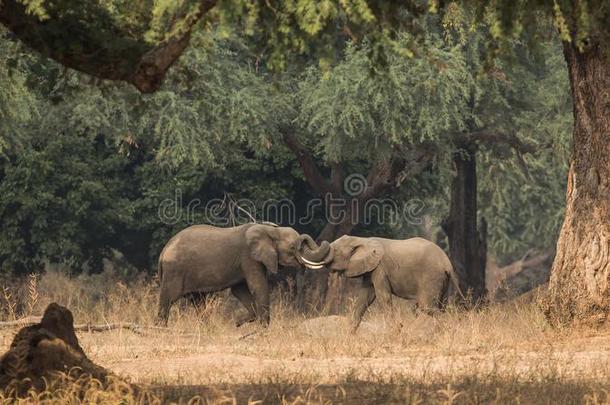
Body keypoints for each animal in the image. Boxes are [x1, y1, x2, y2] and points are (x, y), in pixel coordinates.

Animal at [157, 221, 328, 326]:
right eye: (293, 247)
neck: (270, 230)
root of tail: (164, 249)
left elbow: (239, 290)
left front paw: (238, 322)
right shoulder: (249, 257)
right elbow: (257, 286)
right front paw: (262, 330)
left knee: (198, 301)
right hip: (175, 270)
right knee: (168, 299)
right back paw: (161, 329)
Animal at [302, 235, 464, 326]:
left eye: (334, 251)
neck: (362, 239)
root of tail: (447, 263)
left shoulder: (379, 268)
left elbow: (382, 297)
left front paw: (396, 331)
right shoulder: (370, 269)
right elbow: (365, 298)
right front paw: (349, 333)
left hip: (431, 276)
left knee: (427, 307)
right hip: (442, 280)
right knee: (439, 306)